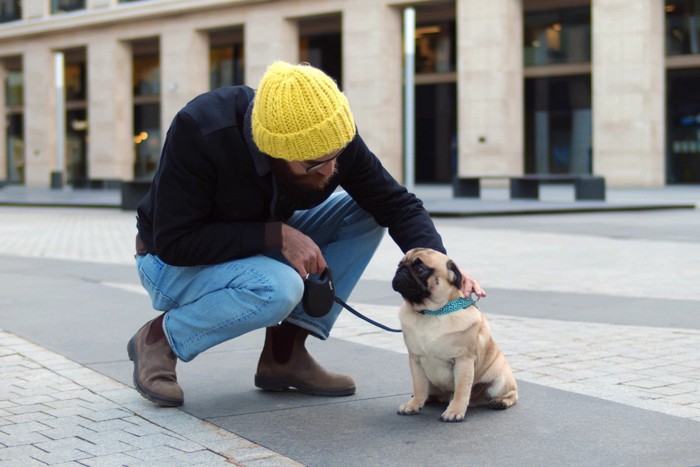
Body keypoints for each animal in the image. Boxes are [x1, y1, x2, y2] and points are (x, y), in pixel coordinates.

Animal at [392, 249, 516, 424]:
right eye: (399, 264)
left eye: (420, 269)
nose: (401, 270)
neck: (430, 313)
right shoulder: (415, 360)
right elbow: (419, 386)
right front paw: (414, 404)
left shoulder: (463, 361)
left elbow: (461, 390)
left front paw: (455, 411)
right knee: (428, 391)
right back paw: (427, 398)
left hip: (501, 380)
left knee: (512, 394)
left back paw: (501, 402)